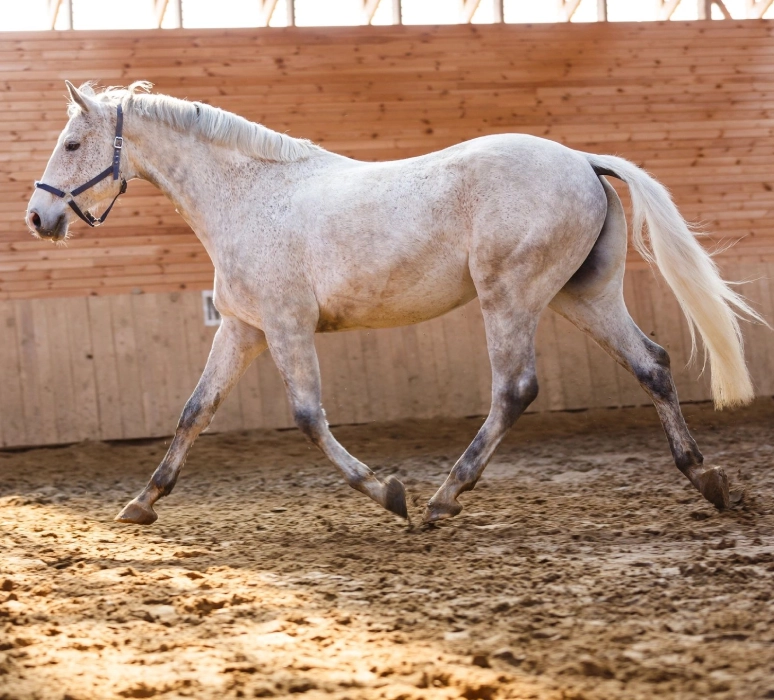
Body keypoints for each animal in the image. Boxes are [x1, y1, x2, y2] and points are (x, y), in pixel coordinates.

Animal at [25, 82, 764, 524]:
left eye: (71, 143)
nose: (38, 218)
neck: (249, 198)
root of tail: (581, 160)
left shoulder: (288, 328)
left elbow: (307, 416)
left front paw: (388, 493)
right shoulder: (242, 328)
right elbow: (193, 411)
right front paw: (140, 502)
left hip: (512, 296)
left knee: (515, 389)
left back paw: (442, 498)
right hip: (580, 296)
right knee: (653, 364)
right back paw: (709, 480)